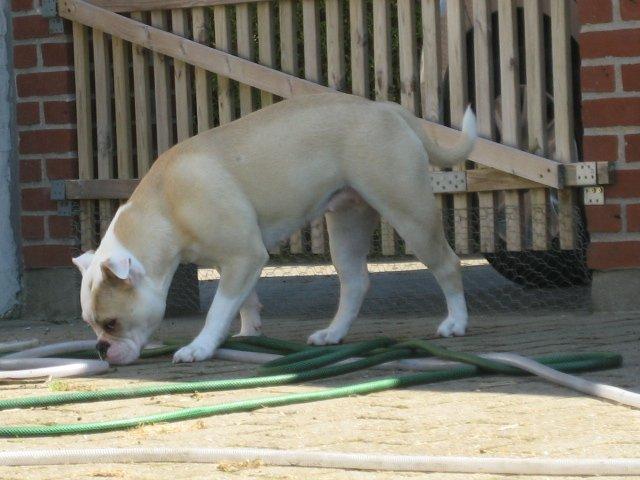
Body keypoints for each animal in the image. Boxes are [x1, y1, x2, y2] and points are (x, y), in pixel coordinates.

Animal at [72, 93, 478, 364]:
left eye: (111, 323)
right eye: (90, 325)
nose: (100, 348)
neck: (164, 209)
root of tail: (387, 108)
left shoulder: (244, 256)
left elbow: (218, 308)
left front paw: (200, 346)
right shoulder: (236, 261)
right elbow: (243, 301)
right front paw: (248, 332)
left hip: (409, 212)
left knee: (447, 265)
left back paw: (456, 323)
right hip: (347, 224)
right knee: (355, 281)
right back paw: (333, 333)